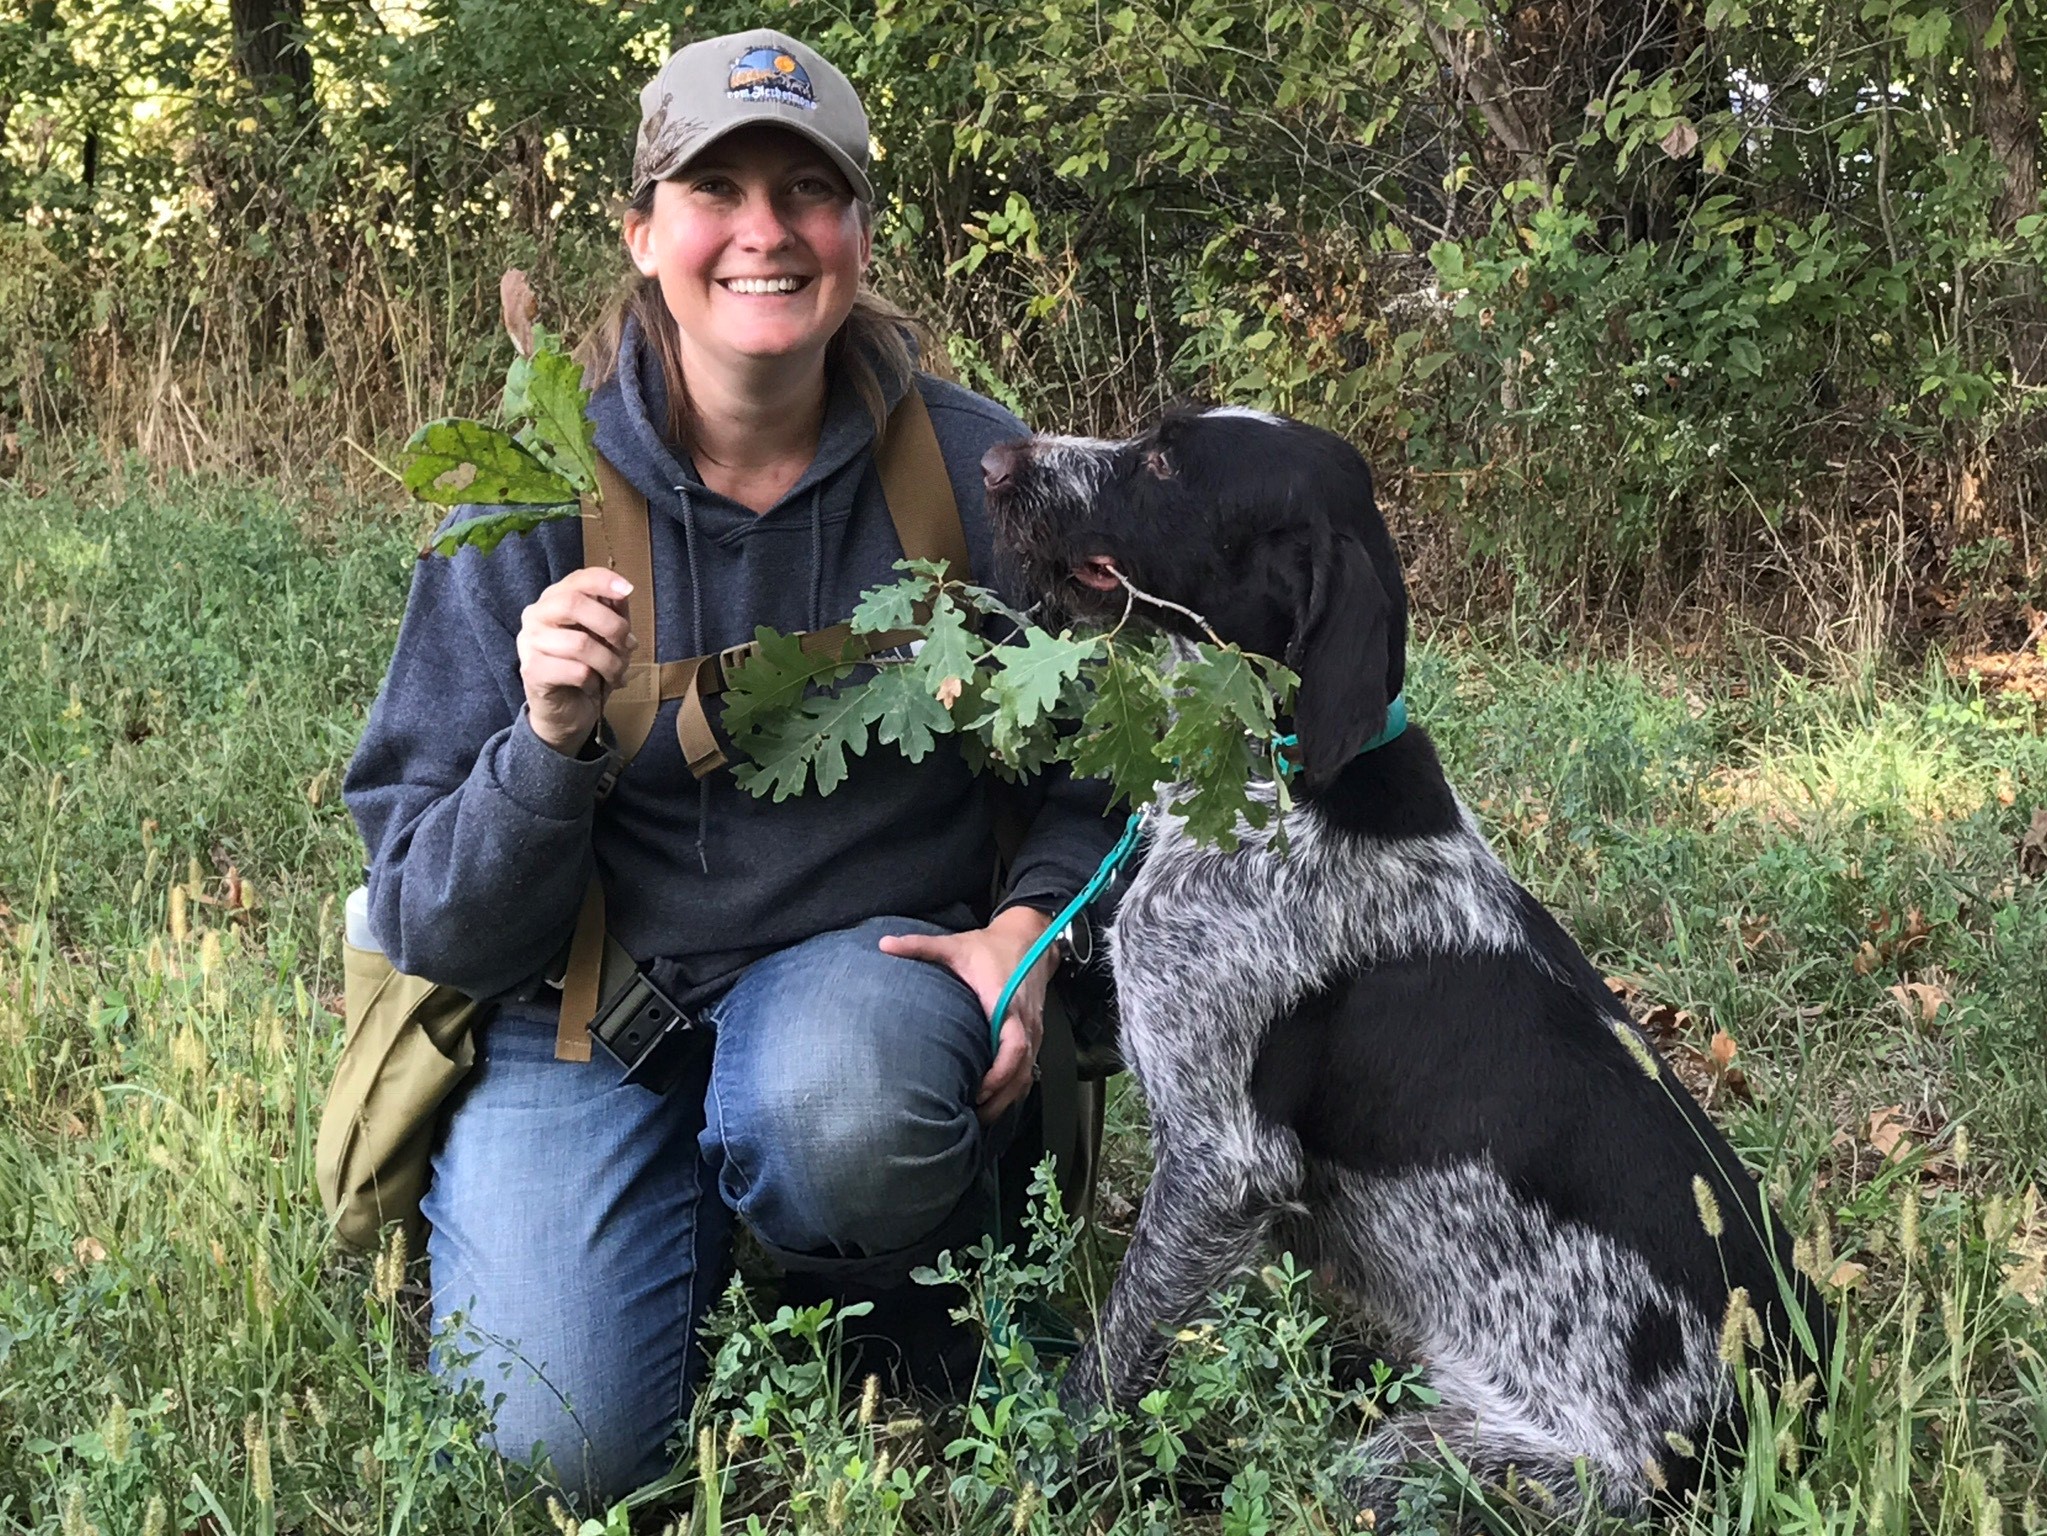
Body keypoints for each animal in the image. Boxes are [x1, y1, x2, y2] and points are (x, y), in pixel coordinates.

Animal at [982, 411, 1834, 1531]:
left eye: (1164, 461)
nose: (995, 464)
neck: (1277, 783)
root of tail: (1780, 1416)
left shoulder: (1220, 1166)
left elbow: (1110, 1356)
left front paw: (1043, 1466)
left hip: (1425, 1468)